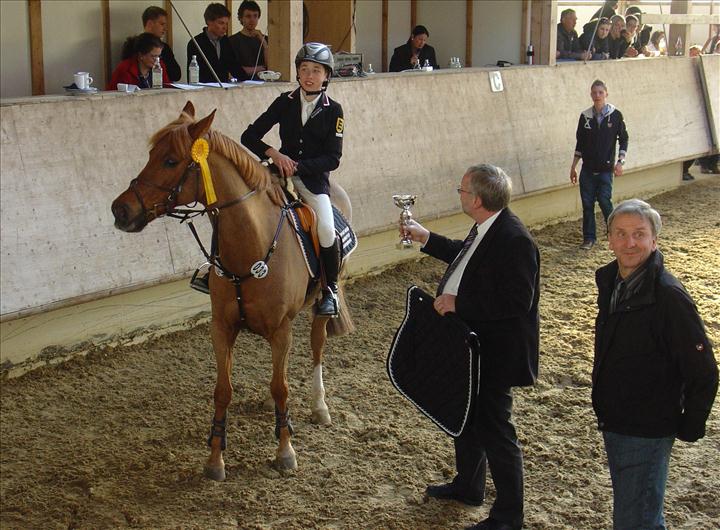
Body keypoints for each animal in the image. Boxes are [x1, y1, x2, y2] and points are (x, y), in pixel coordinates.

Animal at [111, 101, 354, 480]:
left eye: (170, 161)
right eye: (151, 154)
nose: (120, 209)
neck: (252, 244)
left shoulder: (281, 328)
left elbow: (282, 386)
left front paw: (285, 452)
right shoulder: (221, 328)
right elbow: (223, 391)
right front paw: (215, 459)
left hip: (321, 303)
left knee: (316, 348)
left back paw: (319, 406)